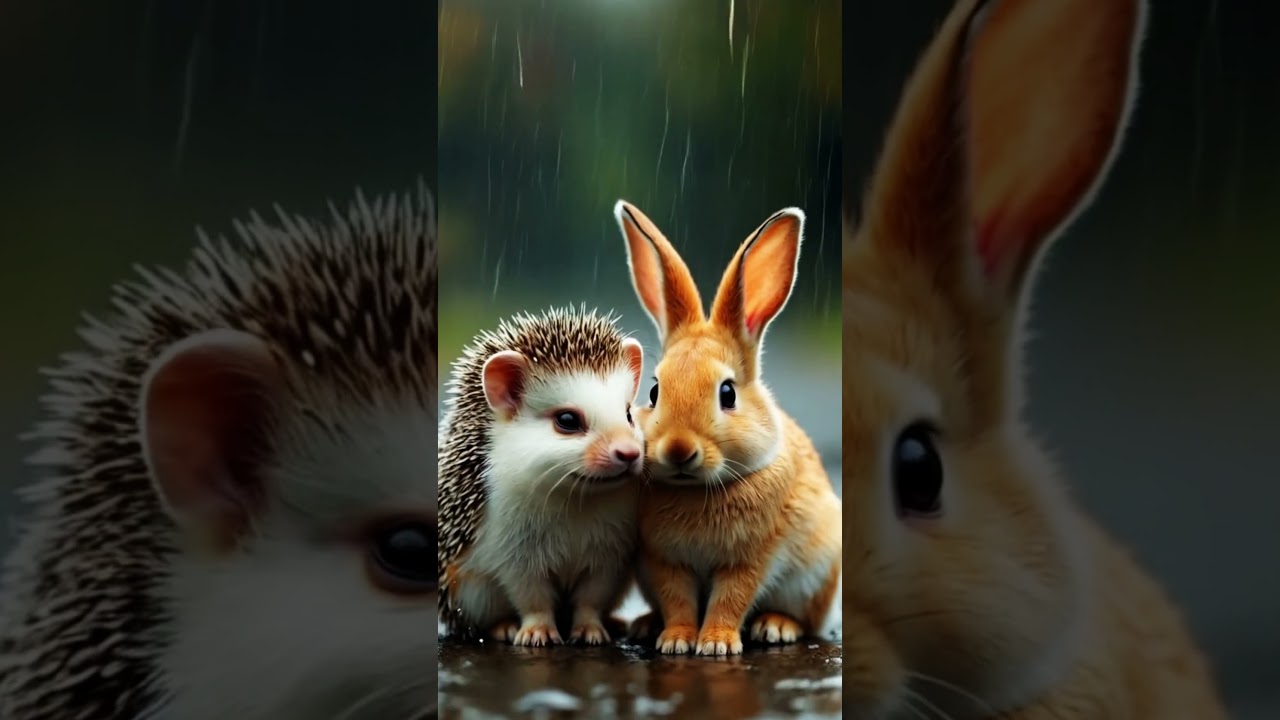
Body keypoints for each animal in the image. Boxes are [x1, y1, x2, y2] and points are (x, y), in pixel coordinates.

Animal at [611, 199, 843, 657]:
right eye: (654, 390)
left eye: (728, 393)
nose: (678, 450)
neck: (695, 490)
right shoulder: (665, 561)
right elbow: (678, 601)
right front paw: (676, 641)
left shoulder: (749, 561)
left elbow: (729, 600)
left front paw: (716, 644)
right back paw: (646, 626)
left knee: (807, 620)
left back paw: (775, 627)